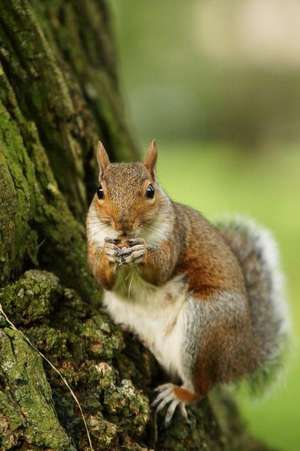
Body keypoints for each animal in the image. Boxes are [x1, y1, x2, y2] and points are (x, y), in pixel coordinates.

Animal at [85, 141, 290, 428]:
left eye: (150, 191)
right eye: (99, 191)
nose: (122, 224)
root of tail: (240, 352)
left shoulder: (175, 237)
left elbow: (161, 271)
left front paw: (142, 252)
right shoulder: (92, 241)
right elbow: (103, 278)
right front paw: (108, 255)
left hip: (204, 324)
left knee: (201, 387)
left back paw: (180, 394)